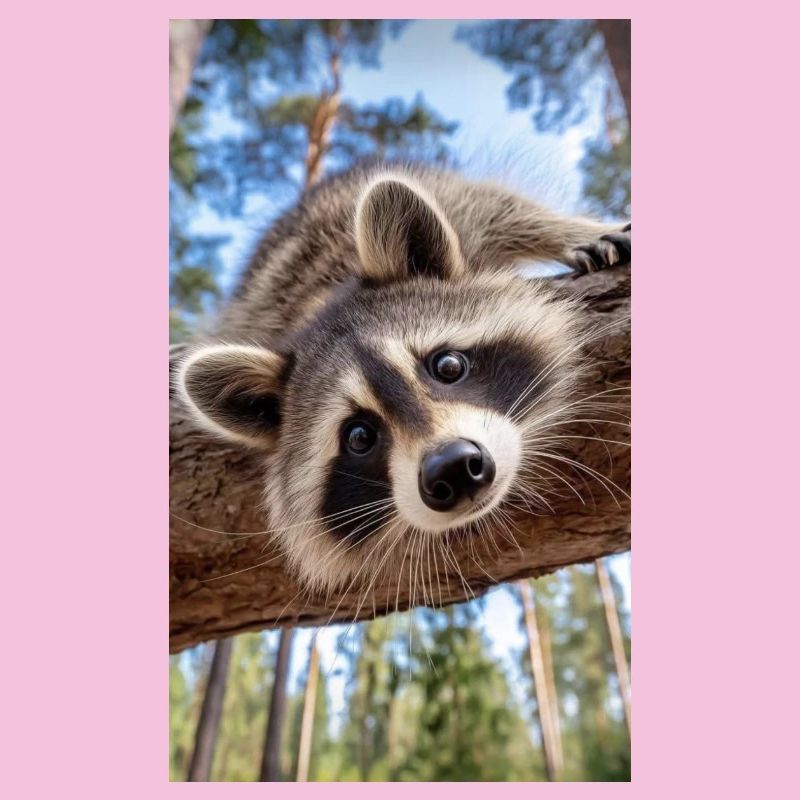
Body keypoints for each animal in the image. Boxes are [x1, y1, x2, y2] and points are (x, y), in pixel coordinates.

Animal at [176, 164, 630, 596]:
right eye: (359, 436)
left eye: (447, 366)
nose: (452, 468)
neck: (320, 302)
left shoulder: (463, 212)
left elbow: (502, 207)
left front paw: (572, 232)